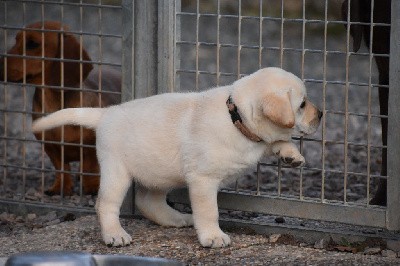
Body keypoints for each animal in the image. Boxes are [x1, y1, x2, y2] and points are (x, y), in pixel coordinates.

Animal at [0, 21, 122, 195]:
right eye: (16, 40)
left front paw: (91, 186)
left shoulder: (91, 145)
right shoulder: (50, 147)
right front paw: (60, 188)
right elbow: (61, 168)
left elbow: (91, 166)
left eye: (32, 44)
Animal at [32, 67, 322, 248]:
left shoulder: (257, 141)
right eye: (302, 104)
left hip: (160, 172)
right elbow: (209, 211)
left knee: (148, 202)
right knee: (106, 204)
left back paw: (177, 219)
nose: (322, 114)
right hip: (117, 172)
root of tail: (105, 114)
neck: (236, 117)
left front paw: (291, 154)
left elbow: (276, 141)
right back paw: (115, 234)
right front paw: (213, 237)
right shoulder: (203, 180)